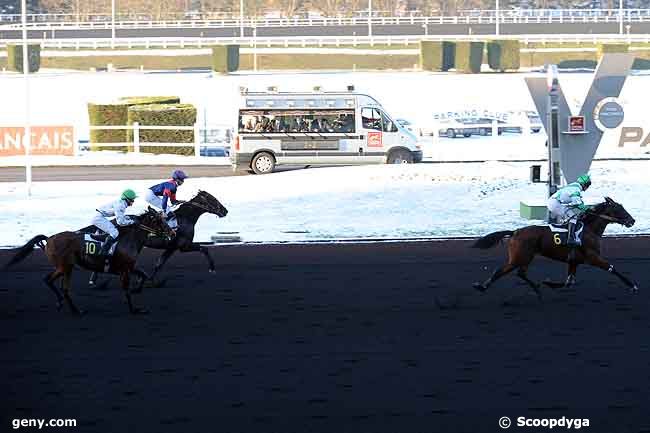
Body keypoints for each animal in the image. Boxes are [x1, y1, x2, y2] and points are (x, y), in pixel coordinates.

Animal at [5, 207, 172, 314]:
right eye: (159, 220)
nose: (172, 232)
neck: (128, 239)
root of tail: (49, 238)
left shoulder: (129, 267)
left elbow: (143, 275)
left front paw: (138, 290)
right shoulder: (125, 269)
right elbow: (126, 289)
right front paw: (134, 309)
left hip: (63, 267)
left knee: (49, 280)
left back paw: (61, 303)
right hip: (66, 266)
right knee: (62, 287)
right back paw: (76, 310)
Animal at [88, 188, 225, 284]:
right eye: (212, 199)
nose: (225, 211)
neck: (185, 218)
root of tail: (112, 221)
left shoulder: (171, 247)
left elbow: (159, 263)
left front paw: (149, 279)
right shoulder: (184, 246)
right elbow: (204, 248)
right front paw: (212, 268)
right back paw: (93, 279)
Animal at [468, 197, 636, 296]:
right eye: (619, 208)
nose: (632, 220)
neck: (589, 229)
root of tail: (515, 231)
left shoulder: (574, 261)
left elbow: (569, 282)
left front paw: (549, 283)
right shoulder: (592, 257)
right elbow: (612, 268)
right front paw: (632, 285)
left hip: (524, 257)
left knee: (519, 273)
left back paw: (536, 289)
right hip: (520, 257)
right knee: (503, 271)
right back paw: (484, 287)